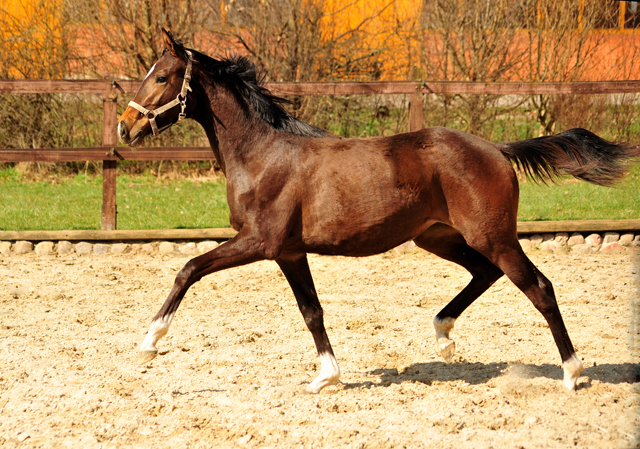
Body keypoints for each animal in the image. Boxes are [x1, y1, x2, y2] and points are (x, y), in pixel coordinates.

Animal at [117, 30, 636, 392]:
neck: (261, 154)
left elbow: (188, 268)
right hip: (439, 236)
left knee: (539, 289)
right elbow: (311, 311)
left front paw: (148, 345)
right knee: (485, 274)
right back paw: (444, 336)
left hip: (494, 237)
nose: (125, 127)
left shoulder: (260, 243)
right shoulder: (289, 252)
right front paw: (326, 377)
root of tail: (497, 149)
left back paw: (572, 373)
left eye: (161, 76)